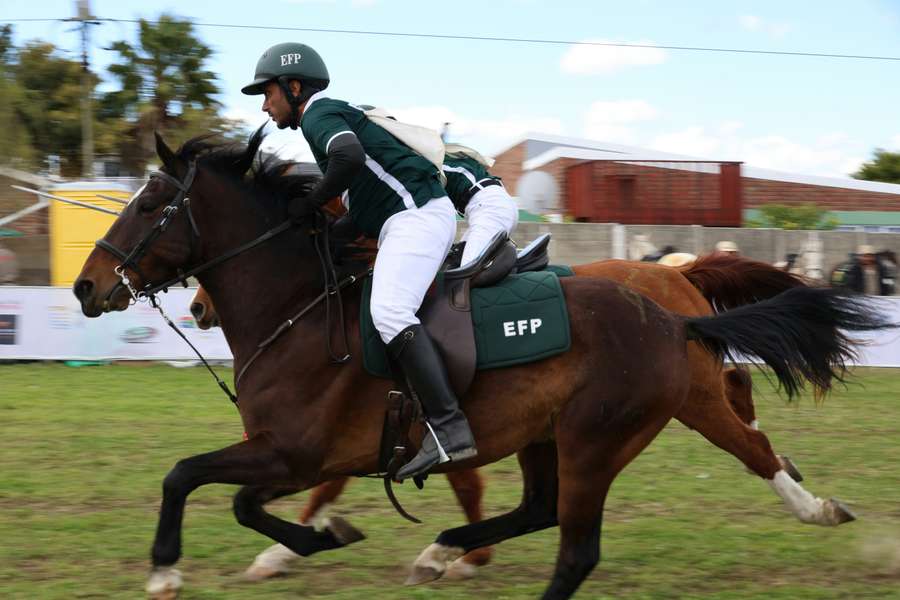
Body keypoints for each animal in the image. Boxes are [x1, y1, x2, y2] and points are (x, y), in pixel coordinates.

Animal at [190, 253, 852, 580]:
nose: (197, 306)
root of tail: (675, 274)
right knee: (741, 393)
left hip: (682, 400)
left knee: (746, 438)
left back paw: (811, 502)